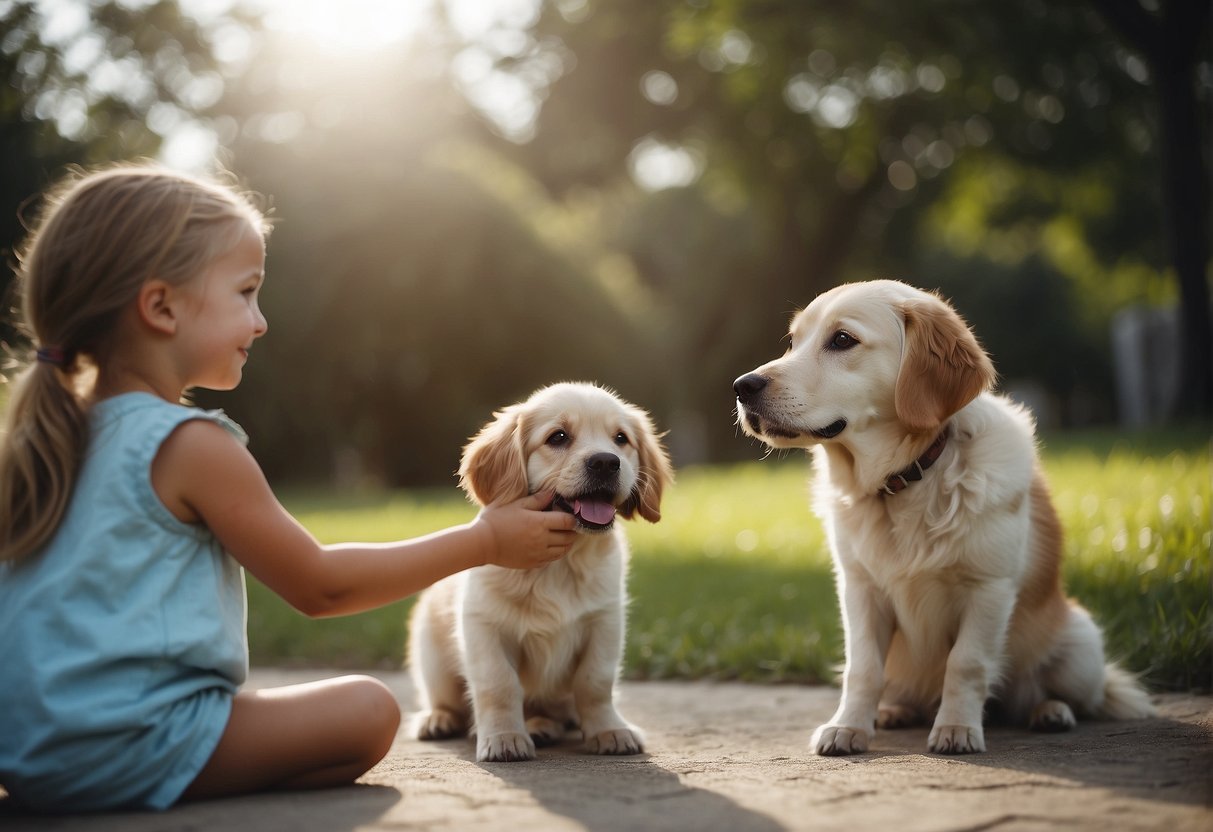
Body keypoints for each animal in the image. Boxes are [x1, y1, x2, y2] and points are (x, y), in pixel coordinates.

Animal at [407, 383, 674, 761]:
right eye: (558, 437)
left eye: (621, 438)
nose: (606, 462)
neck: (560, 564)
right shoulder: (483, 625)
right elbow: (499, 684)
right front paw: (504, 737)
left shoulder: (605, 622)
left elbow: (595, 681)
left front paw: (608, 729)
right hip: (430, 656)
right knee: (445, 700)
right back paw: (438, 719)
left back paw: (542, 725)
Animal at [732, 280, 1149, 756]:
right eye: (793, 341)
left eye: (842, 339)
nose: (742, 386)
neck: (906, 481)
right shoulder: (860, 589)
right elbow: (863, 667)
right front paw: (848, 726)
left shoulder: (988, 588)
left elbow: (966, 664)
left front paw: (957, 728)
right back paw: (893, 711)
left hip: (1081, 648)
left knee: (1065, 696)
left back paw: (1050, 711)